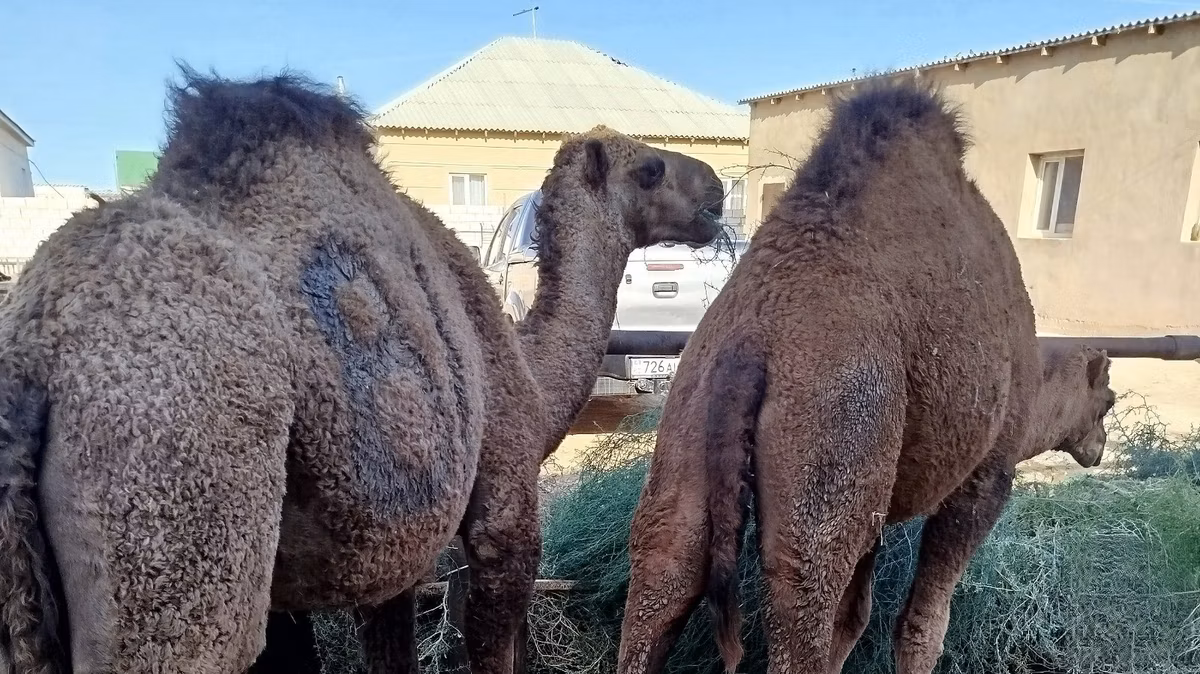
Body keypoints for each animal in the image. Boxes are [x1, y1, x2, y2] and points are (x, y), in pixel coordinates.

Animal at [0, 68, 724, 673]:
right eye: (650, 168)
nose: (717, 188)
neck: (529, 377)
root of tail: (34, 357)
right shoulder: (505, 503)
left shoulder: (384, 553)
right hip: (179, 512)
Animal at [615, 79, 1118, 674]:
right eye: (1108, 401)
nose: (1099, 448)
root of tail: (751, 343)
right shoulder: (987, 471)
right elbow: (922, 622)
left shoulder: (876, 496)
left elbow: (855, 617)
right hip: (833, 430)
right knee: (800, 599)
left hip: (693, 416)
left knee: (665, 566)